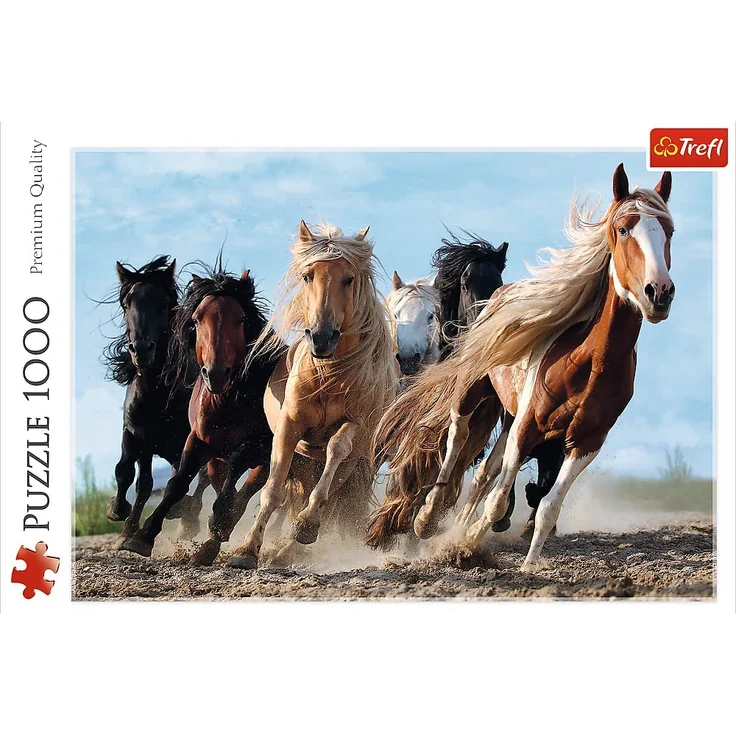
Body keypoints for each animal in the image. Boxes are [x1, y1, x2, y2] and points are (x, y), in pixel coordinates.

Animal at [103, 256, 209, 548]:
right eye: (127, 303)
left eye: (163, 303)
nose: (141, 350)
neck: (157, 394)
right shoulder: (137, 434)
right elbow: (130, 475)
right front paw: (121, 518)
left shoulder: (188, 440)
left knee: (202, 479)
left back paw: (187, 519)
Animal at [121, 264, 281, 564]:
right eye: (196, 320)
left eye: (241, 319)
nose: (215, 373)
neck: (227, 401)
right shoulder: (197, 440)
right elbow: (177, 483)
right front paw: (142, 537)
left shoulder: (260, 446)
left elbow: (237, 471)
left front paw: (219, 520)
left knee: (245, 492)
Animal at [225, 221, 398, 569]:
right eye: (308, 276)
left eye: (349, 279)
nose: (321, 337)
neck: (329, 375)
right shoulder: (290, 427)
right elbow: (273, 490)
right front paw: (246, 550)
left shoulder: (355, 425)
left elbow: (335, 450)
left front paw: (306, 525)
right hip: (307, 461)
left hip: (352, 463)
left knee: (329, 496)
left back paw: (291, 546)